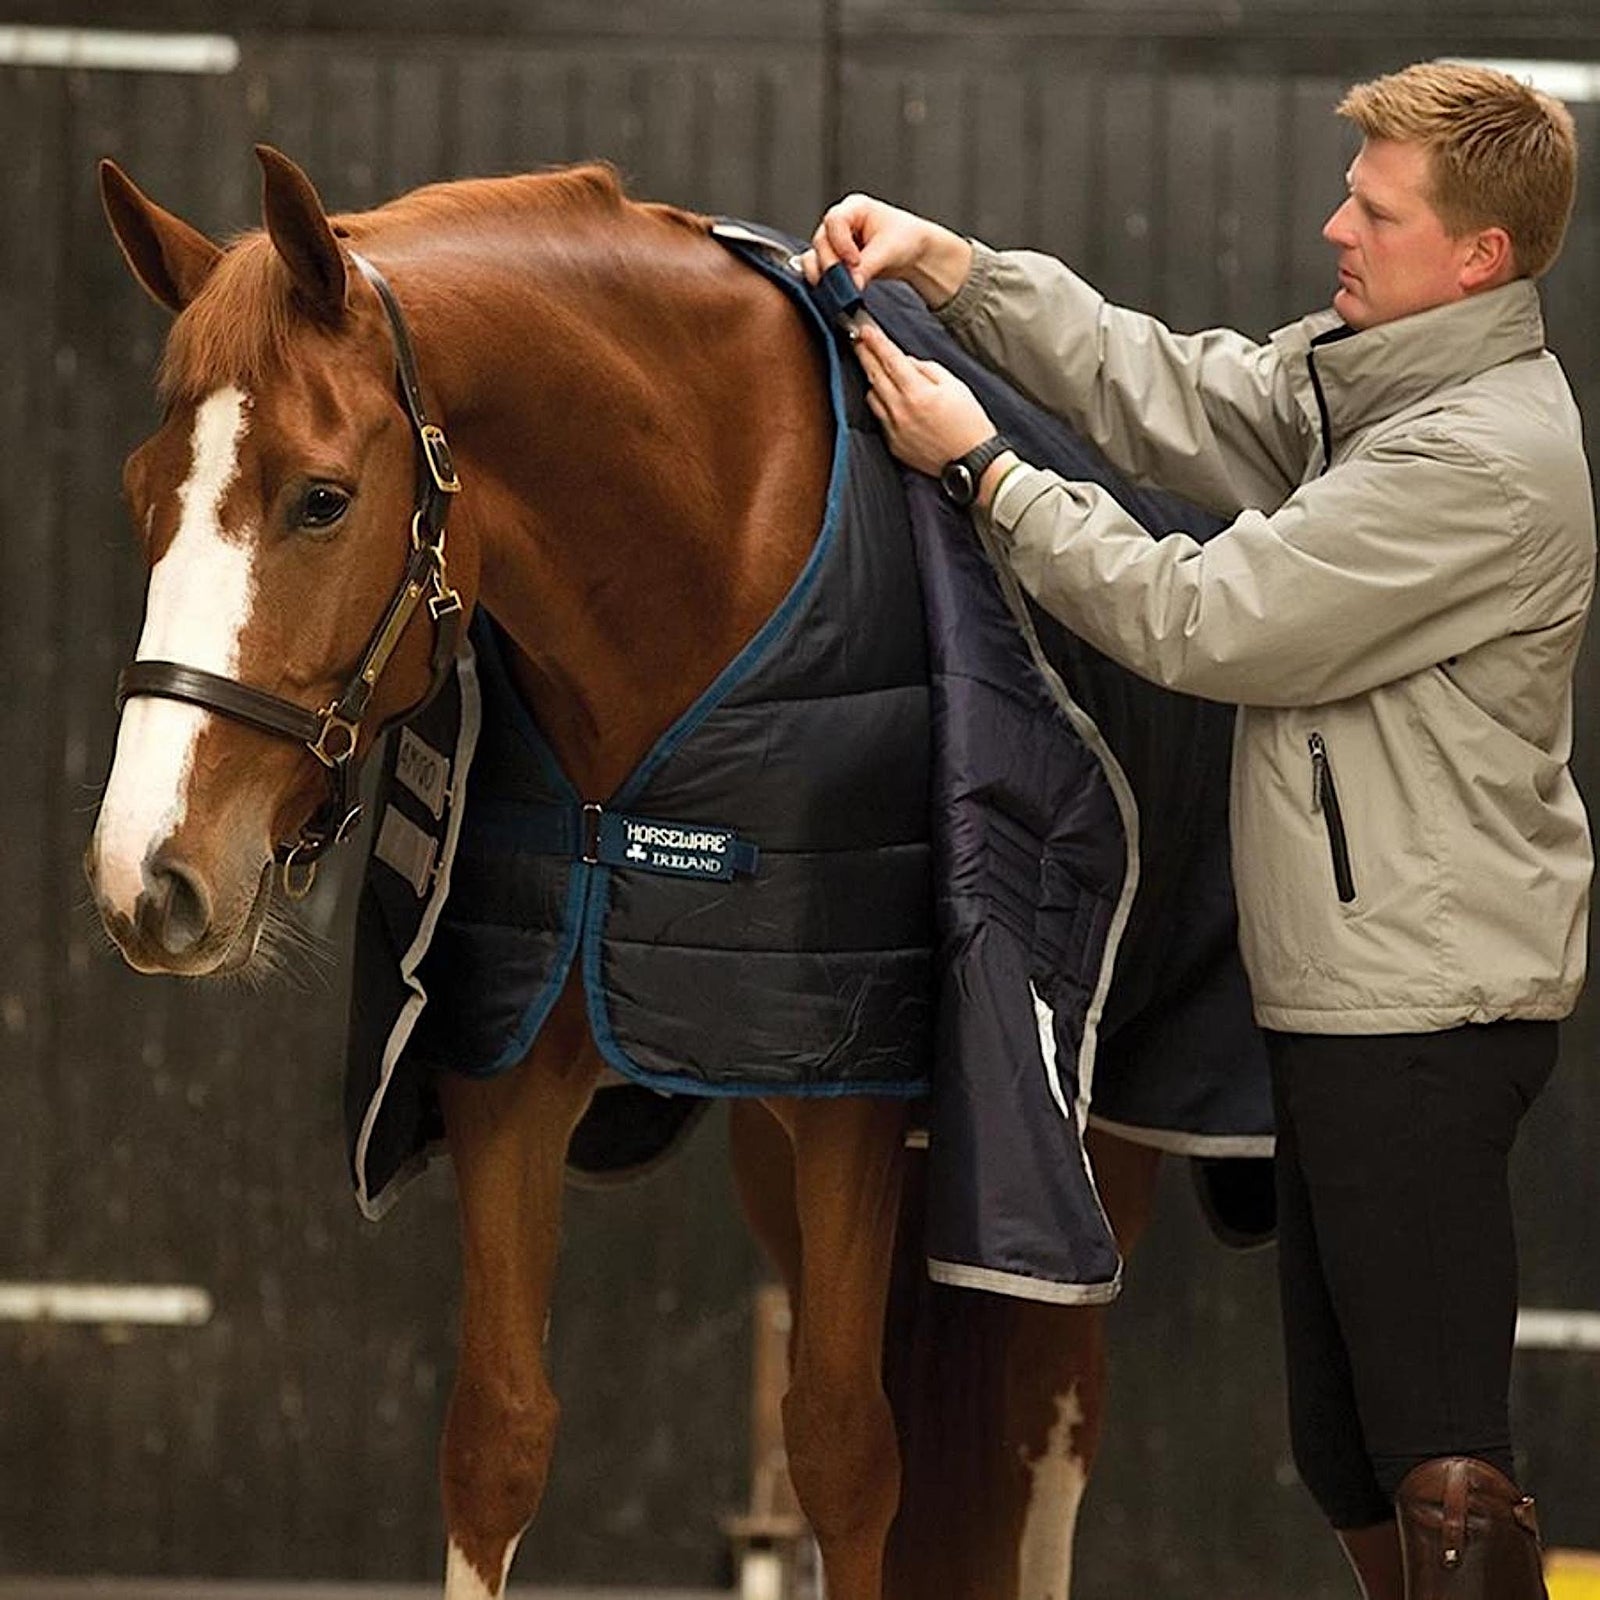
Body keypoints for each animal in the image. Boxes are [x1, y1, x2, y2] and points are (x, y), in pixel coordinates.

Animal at [83, 145, 1173, 1599]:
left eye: (321, 498)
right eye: (143, 496)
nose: (143, 874)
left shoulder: (853, 1097)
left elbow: (844, 1453)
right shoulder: (506, 1072)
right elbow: (496, 1435)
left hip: (1081, 1160)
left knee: (1048, 1422)